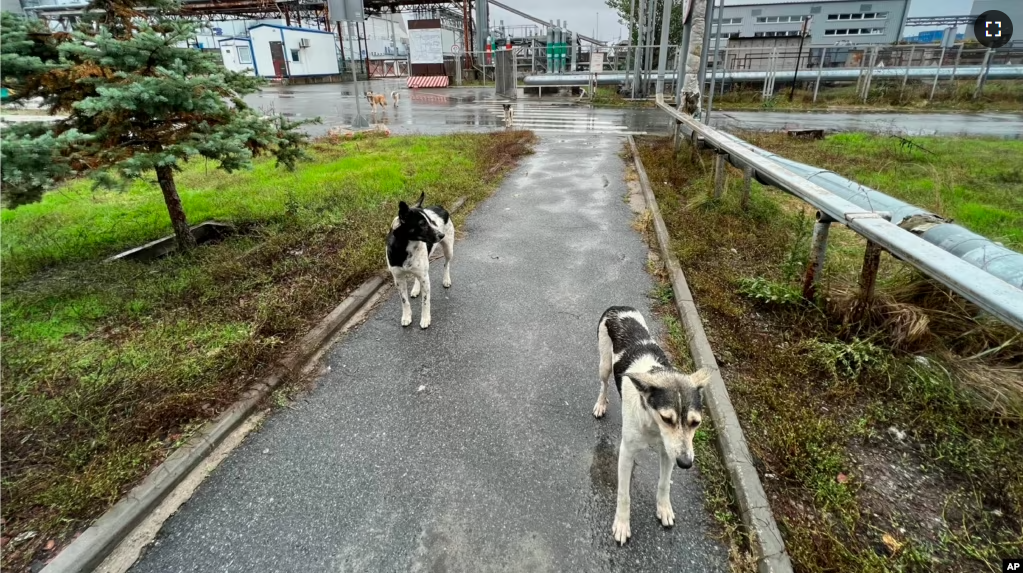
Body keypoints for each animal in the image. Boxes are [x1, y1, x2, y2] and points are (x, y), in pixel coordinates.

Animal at [384, 192, 454, 329]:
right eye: (422, 224)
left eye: (431, 221)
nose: (441, 235)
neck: (405, 247)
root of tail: (440, 207)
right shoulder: (398, 279)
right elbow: (404, 301)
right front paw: (406, 316)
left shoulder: (424, 277)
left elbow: (425, 301)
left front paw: (425, 318)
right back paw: (416, 289)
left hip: (448, 249)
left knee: (446, 264)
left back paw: (446, 280)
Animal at [593, 304, 712, 544]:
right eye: (667, 418)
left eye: (696, 423)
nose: (686, 464)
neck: (653, 424)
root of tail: (618, 306)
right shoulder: (626, 452)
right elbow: (624, 494)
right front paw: (622, 524)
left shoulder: (669, 453)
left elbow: (664, 484)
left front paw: (664, 508)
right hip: (604, 364)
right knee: (604, 384)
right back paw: (601, 404)